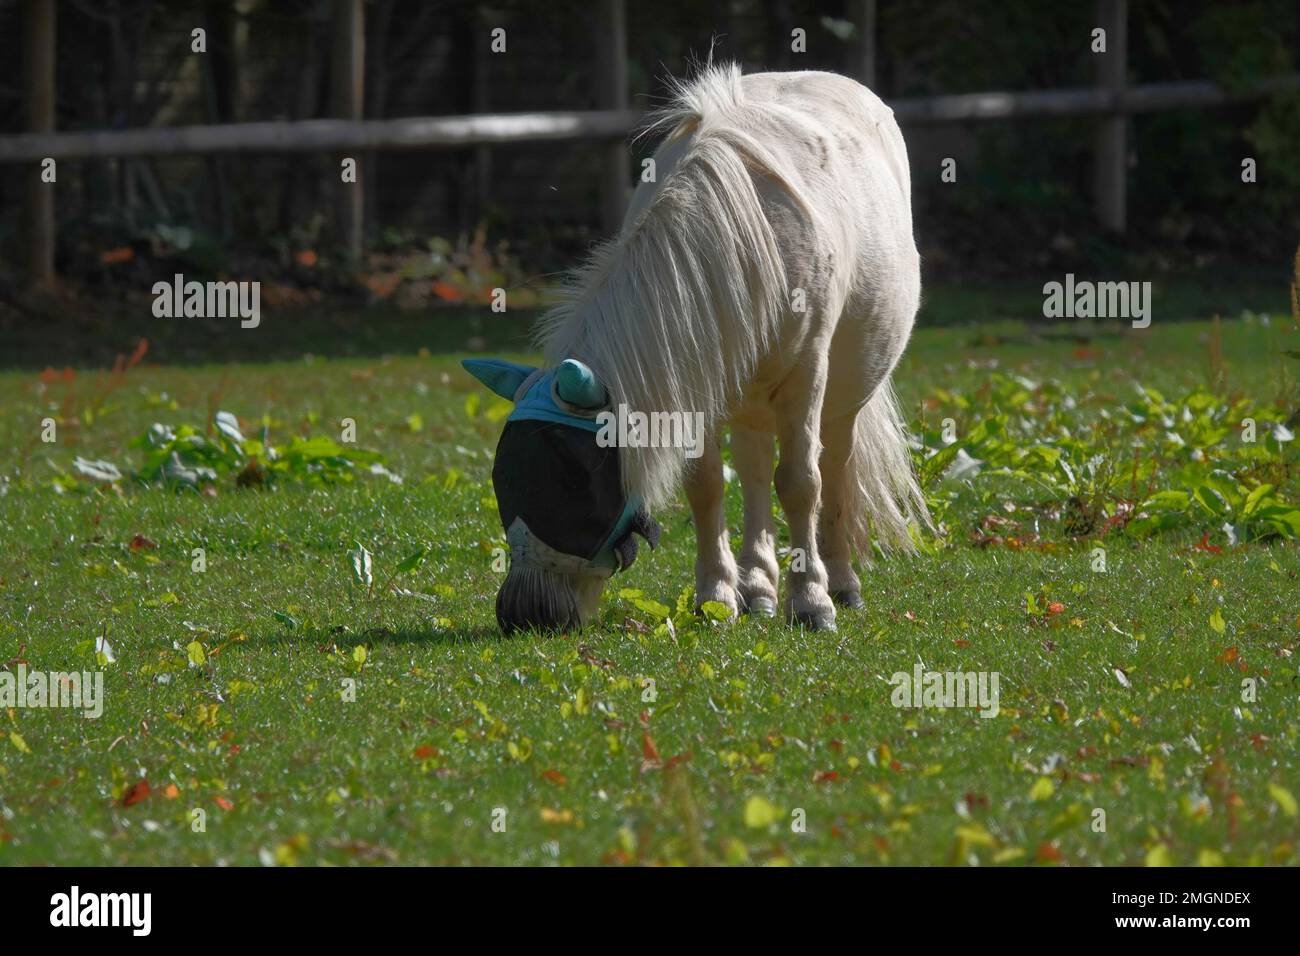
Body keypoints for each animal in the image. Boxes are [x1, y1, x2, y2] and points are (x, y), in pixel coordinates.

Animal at [465, 65, 925, 634]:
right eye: (500, 476)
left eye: (569, 476)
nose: (525, 612)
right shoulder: (695, 380)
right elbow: (706, 485)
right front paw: (718, 596)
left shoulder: (806, 378)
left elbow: (801, 483)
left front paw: (812, 602)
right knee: (753, 467)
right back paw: (758, 587)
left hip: (843, 394)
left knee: (834, 467)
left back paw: (840, 582)